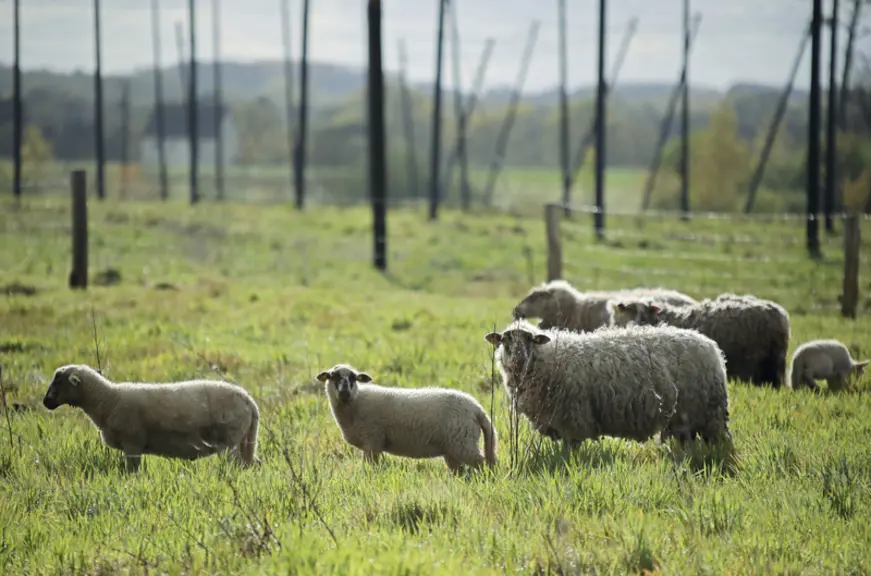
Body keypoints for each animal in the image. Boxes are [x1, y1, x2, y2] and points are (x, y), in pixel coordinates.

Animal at [41, 364, 260, 471]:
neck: (108, 400)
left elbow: (132, 472)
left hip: (231, 440)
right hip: (244, 439)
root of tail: (247, 398)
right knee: (252, 463)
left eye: (59, 380)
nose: (46, 402)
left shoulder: (132, 444)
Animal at [317, 364, 497, 474]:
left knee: (484, 465)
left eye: (354, 378)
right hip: (452, 448)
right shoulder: (373, 445)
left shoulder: (372, 442)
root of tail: (477, 409)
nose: (344, 393)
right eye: (332, 376)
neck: (355, 403)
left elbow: (369, 469)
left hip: (463, 443)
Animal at [484, 319, 731, 453]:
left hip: (711, 413)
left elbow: (569, 451)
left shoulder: (572, 420)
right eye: (505, 340)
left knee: (721, 441)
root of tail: (712, 347)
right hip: (687, 419)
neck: (546, 361)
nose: (518, 360)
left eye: (529, 340)